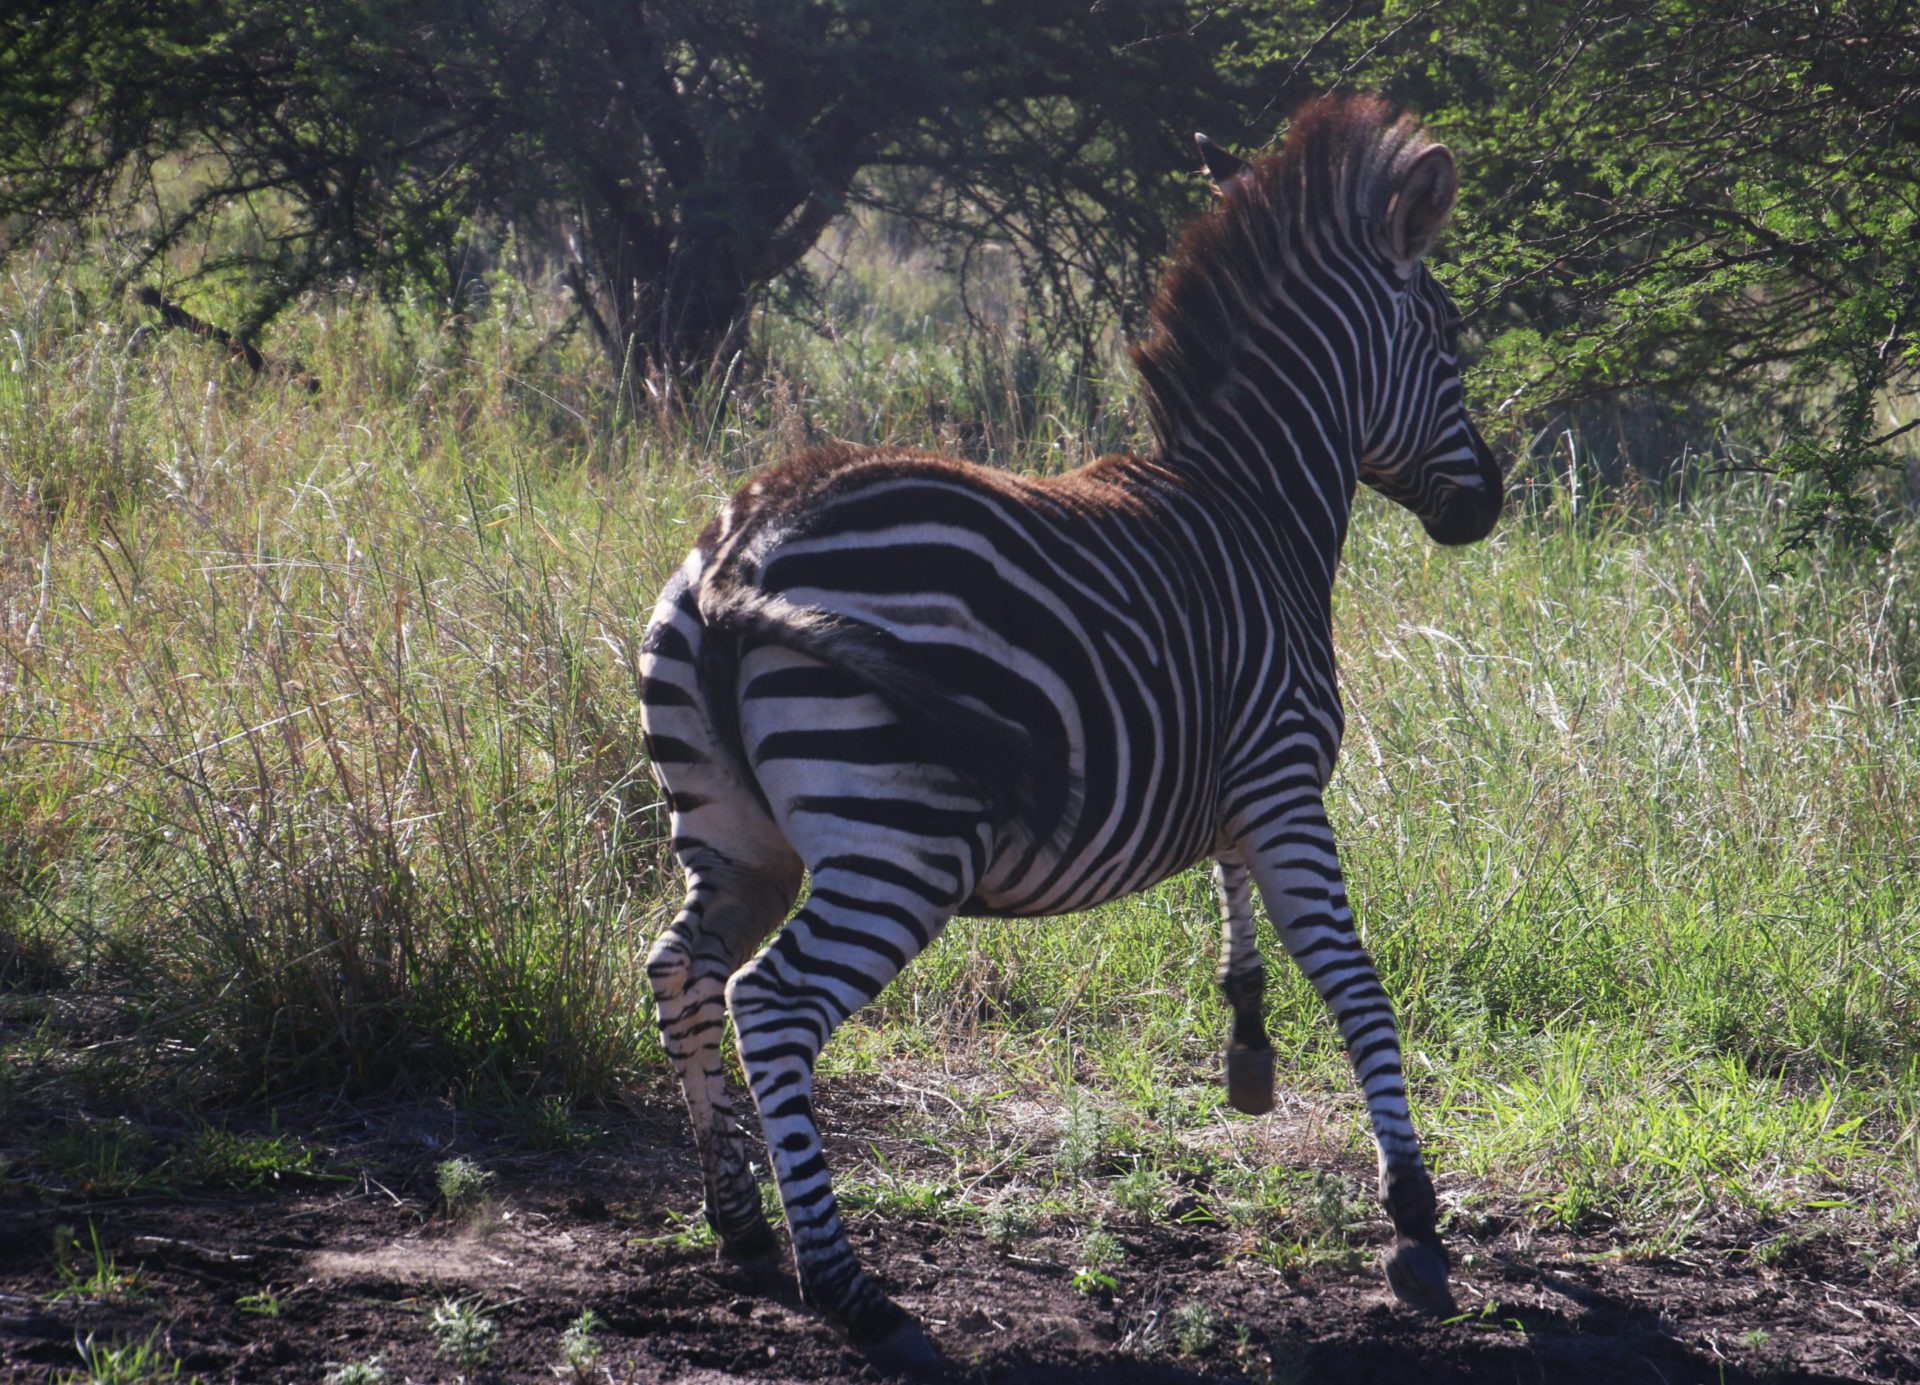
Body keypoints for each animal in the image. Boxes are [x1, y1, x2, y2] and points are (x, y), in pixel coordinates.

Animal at [638, 94, 1502, 1371]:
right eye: (1449, 343)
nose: (1485, 502)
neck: (1257, 505)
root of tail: (742, 549)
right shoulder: (1287, 778)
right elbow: (1355, 977)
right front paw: (1415, 1223)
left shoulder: (1236, 782)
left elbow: (1243, 916)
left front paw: (1249, 1051)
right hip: (898, 838)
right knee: (772, 1003)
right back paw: (853, 1291)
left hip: (736, 835)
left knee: (683, 969)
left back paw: (739, 1224)